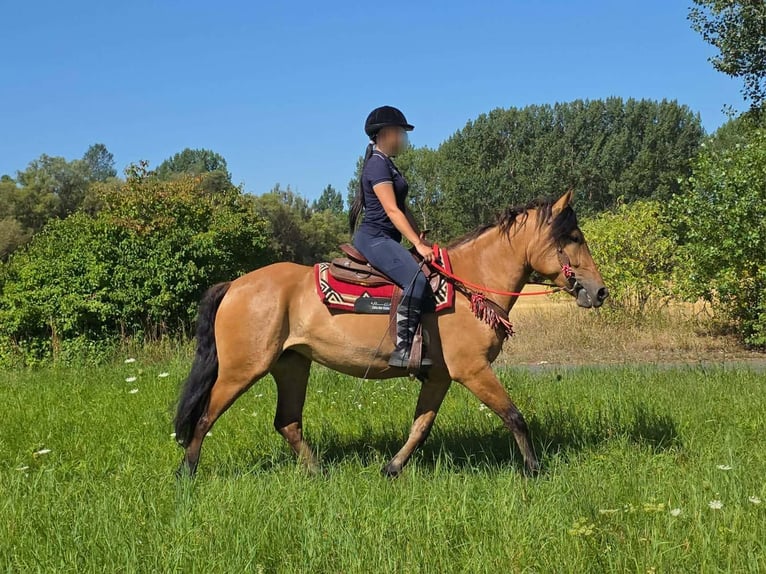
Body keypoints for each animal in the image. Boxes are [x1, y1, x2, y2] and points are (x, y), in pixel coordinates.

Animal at [174, 190, 607, 477]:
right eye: (573, 238)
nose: (599, 291)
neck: (471, 283)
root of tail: (235, 284)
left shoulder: (440, 376)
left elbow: (421, 426)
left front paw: (392, 468)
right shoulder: (472, 370)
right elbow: (514, 416)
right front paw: (534, 470)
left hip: (291, 364)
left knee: (287, 422)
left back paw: (318, 473)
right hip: (242, 369)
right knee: (204, 416)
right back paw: (187, 474)